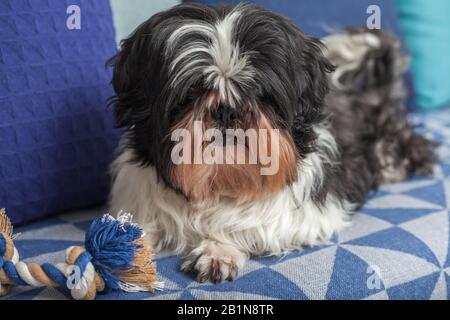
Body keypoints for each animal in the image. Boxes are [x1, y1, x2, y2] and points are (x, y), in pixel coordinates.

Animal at [106, 1, 436, 282]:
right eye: (191, 92)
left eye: (259, 91)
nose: (226, 109)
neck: (221, 184)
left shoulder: (309, 216)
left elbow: (249, 225)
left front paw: (218, 250)